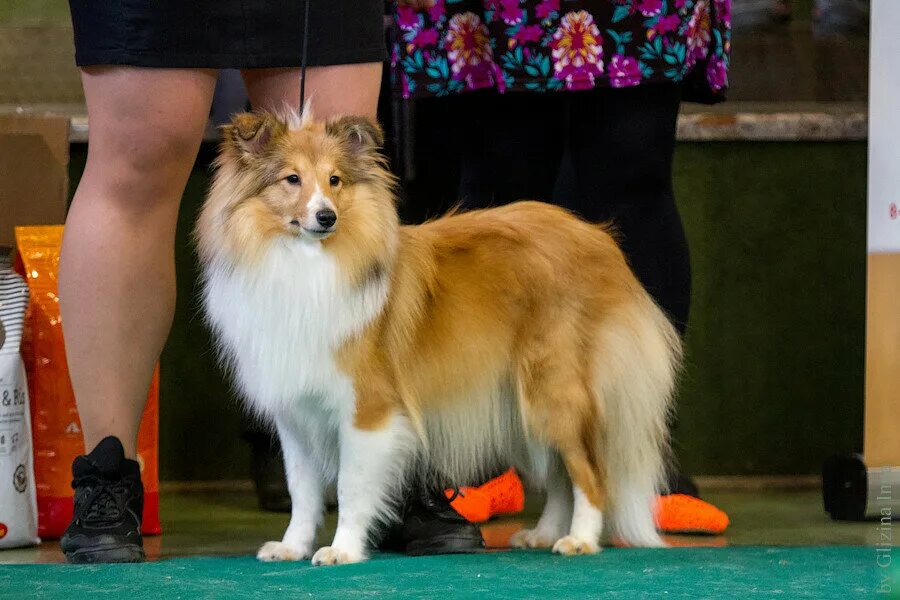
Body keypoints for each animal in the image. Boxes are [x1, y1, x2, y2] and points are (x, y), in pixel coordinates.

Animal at [195, 106, 676, 568]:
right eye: (291, 179)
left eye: (335, 180)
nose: (327, 216)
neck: (304, 263)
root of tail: (600, 239)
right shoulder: (296, 414)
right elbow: (302, 491)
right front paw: (292, 546)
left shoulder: (368, 410)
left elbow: (351, 486)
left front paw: (342, 550)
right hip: (520, 404)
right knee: (560, 473)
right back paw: (543, 534)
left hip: (553, 390)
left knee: (589, 471)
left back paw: (580, 539)